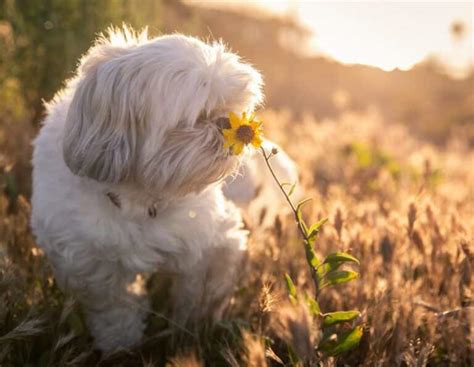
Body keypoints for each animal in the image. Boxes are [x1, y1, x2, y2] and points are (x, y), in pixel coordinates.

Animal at [29, 26, 294, 354]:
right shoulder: (87, 262)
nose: (226, 123)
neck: (142, 196)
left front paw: (190, 334)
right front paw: (121, 345)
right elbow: (114, 308)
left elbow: (198, 293)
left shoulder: (213, 240)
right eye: (199, 115)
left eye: (231, 109)